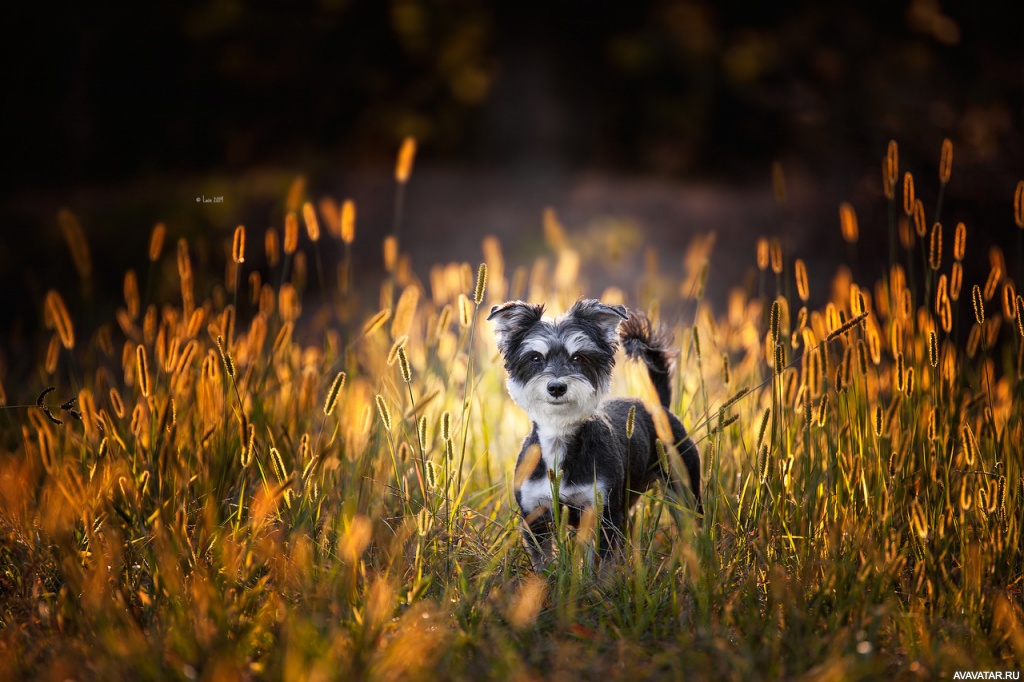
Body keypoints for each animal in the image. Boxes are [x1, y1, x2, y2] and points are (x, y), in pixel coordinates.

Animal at [489, 296, 704, 569]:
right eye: (535, 358)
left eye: (579, 358)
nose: (556, 387)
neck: (559, 442)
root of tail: (660, 408)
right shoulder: (535, 517)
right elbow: (544, 563)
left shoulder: (603, 513)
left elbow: (600, 566)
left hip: (684, 491)